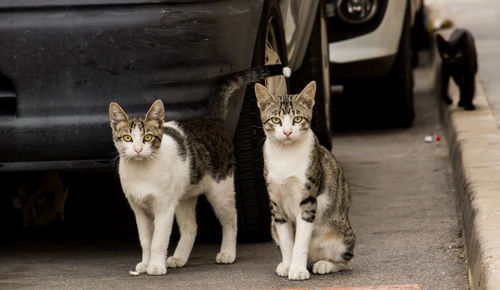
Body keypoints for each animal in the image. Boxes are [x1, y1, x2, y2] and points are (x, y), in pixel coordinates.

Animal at [109, 64, 290, 276]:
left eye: (148, 138)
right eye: (127, 138)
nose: (138, 150)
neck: (142, 170)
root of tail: (212, 120)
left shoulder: (164, 208)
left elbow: (158, 241)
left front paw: (155, 266)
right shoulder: (139, 209)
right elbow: (146, 241)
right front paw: (145, 264)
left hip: (221, 190)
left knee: (231, 219)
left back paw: (228, 253)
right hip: (184, 196)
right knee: (191, 227)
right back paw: (179, 257)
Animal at [254, 80, 356, 280]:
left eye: (298, 119)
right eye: (276, 120)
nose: (287, 132)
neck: (285, 154)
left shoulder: (308, 201)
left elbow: (300, 242)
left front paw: (298, 270)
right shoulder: (276, 205)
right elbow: (287, 242)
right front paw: (288, 265)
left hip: (341, 234)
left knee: (346, 261)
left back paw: (324, 264)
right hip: (272, 226)